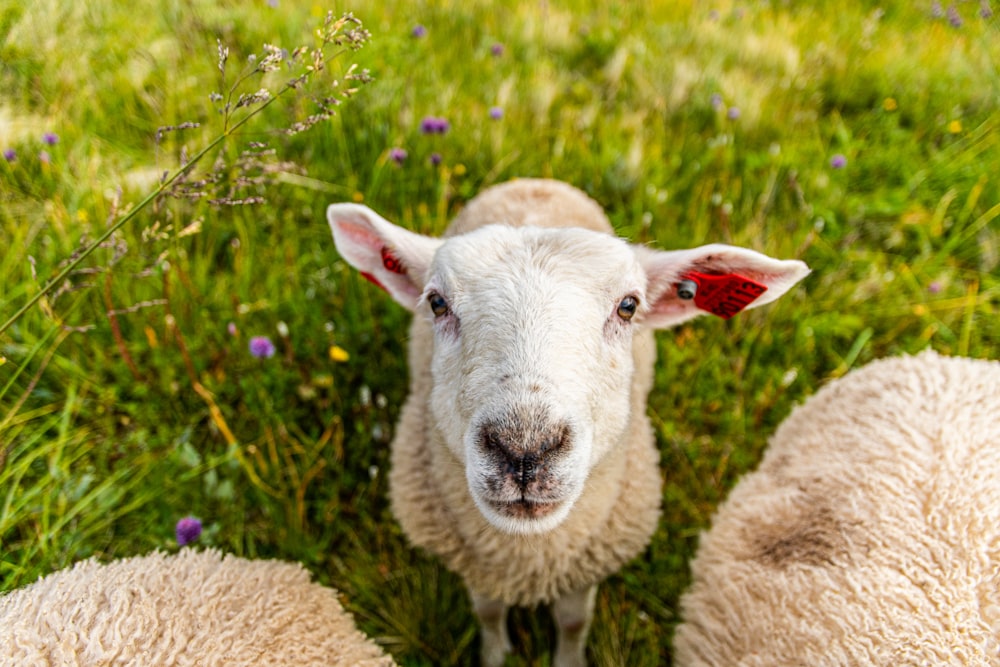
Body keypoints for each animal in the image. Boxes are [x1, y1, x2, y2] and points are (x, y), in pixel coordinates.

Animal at [324, 179, 808, 667]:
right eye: (437, 303)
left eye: (628, 307)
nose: (523, 450)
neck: (530, 556)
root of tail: (534, 182)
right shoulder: (476, 564)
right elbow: (488, 612)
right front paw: (496, 654)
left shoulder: (584, 566)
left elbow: (573, 621)